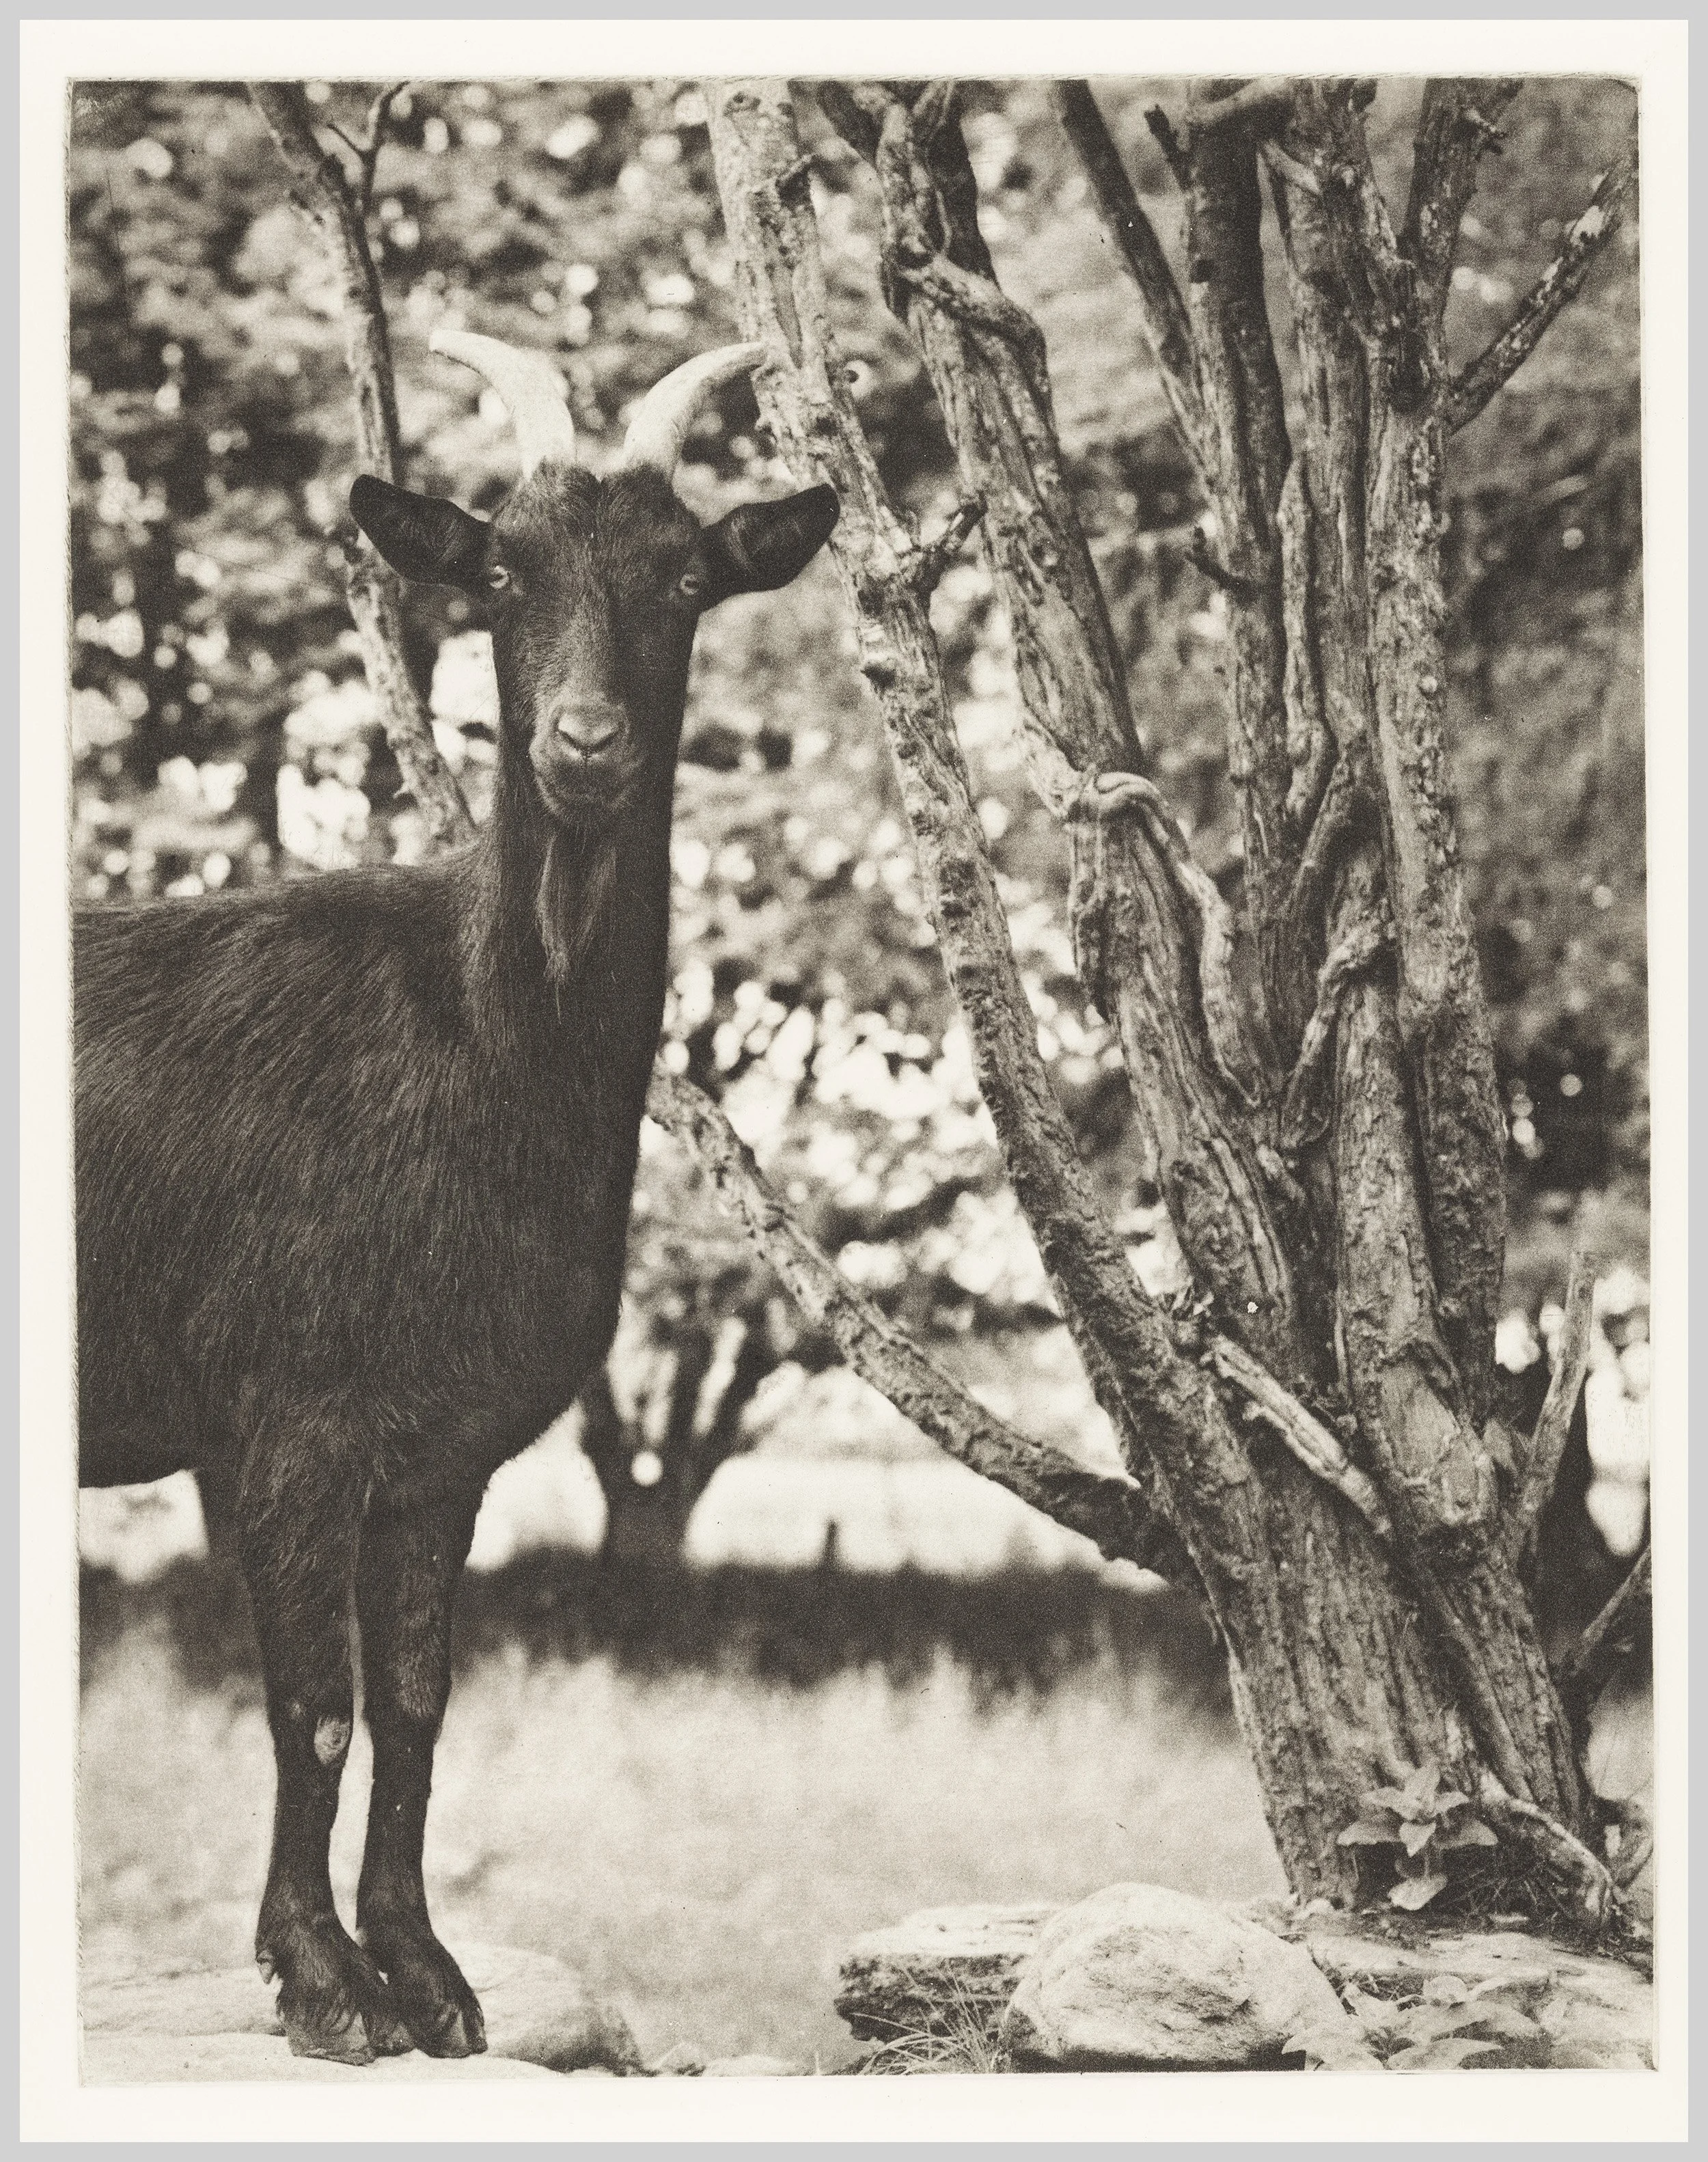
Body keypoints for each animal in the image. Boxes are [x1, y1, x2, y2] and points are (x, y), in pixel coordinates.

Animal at [74, 328, 837, 2063]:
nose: (584, 743)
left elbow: (417, 1705)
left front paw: (426, 1975)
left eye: (687, 575)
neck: (477, 1031)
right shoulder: (291, 1418)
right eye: (499, 569)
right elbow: (314, 1707)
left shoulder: (441, 1451)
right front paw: (322, 1986)